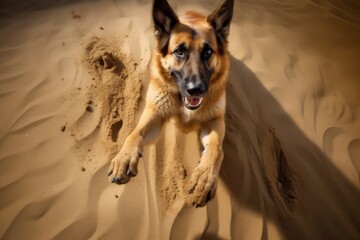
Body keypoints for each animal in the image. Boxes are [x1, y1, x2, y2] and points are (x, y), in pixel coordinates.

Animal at [108, 0, 235, 207]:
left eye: (208, 52)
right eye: (179, 52)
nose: (195, 89)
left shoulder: (214, 121)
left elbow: (216, 148)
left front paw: (204, 179)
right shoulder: (155, 113)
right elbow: (134, 134)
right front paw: (124, 158)